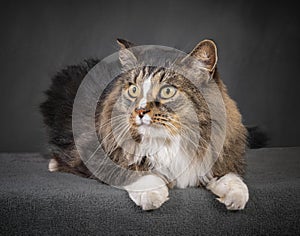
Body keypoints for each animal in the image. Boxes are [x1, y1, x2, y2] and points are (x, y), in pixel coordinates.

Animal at [41, 38, 250, 210]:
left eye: (167, 91)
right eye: (134, 90)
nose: (140, 111)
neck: (168, 142)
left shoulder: (220, 157)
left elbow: (233, 178)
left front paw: (237, 197)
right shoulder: (96, 152)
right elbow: (137, 172)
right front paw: (153, 194)